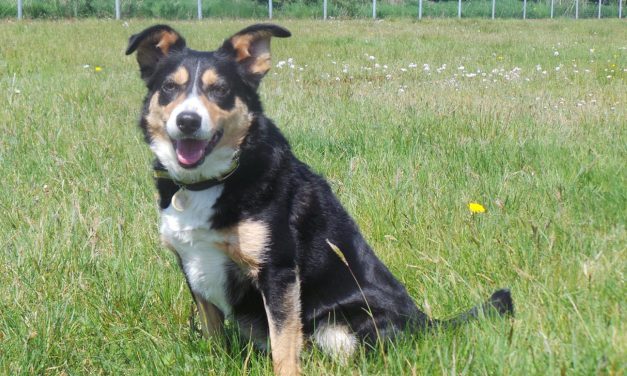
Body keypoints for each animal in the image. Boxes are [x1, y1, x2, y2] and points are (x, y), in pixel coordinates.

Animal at [125, 24, 512, 376]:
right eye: (169, 87)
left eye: (220, 89)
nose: (188, 121)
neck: (209, 182)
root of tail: (425, 322)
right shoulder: (192, 264)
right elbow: (214, 335)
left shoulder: (278, 271)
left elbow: (284, 345)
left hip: (340, 322)